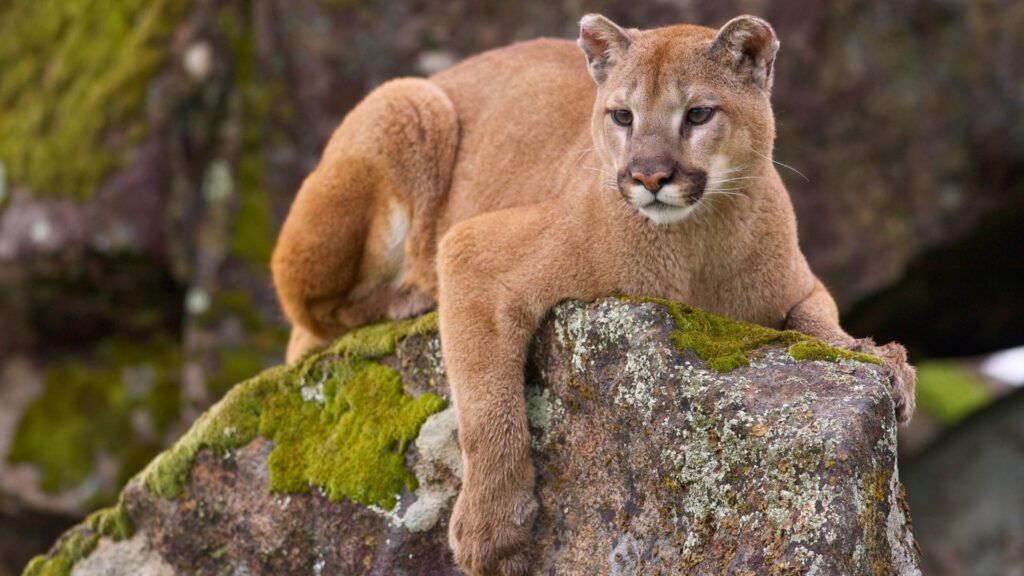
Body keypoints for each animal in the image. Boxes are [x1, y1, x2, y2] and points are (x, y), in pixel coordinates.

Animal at [268, 13, 917, 573]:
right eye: (622, 116)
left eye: (698, 114)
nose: (649, 176)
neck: (697, 244)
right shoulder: (472, 250)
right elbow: (486, 405)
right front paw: (492, 531)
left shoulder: (801, 284)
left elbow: (820, 323)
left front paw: (878, 358)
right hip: (406, 104)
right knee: (307, 320)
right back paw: (407, 298)